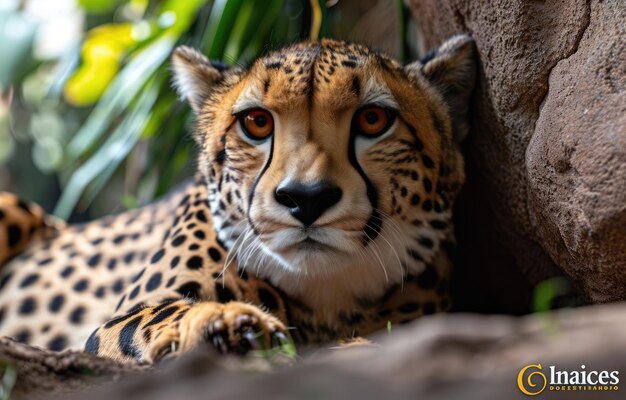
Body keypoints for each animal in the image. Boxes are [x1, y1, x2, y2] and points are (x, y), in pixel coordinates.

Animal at [0, 36, 472, 364]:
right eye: (257, 123)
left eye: (374, 119)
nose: (305, 198)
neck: (325, 298)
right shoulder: (120, 320)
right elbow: (160, 315)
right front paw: (225, 325)